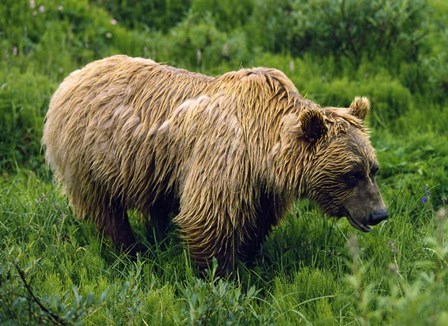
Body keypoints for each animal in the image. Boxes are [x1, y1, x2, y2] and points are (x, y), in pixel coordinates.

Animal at [44, 56, 388, 276]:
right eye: (351, 174)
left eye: (373, 169)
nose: (379, 213)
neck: (264, 148)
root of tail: (73, 76)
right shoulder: (225, 157)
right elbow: (210, 218)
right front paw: (220, 275)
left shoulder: (263, 186)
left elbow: (258, 222)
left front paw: (250, 260)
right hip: (90, 156)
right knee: (106, 209)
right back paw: (130, 249)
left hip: (154, 165)